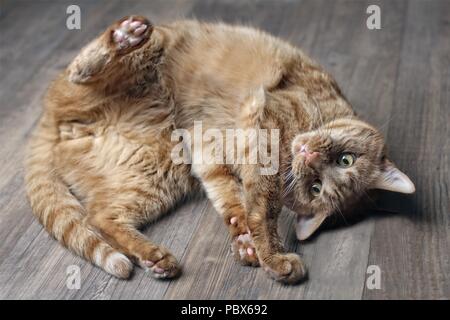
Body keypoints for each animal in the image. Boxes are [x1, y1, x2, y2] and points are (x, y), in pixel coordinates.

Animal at [25, 16, 414, 284]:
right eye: (345, 159)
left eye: (315, 187)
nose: (309, 156)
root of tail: (51, 119)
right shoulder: (264, 131)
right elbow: (263, 210)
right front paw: (273, 257)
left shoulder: (206, 155)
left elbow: (234, 201)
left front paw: (245, 242)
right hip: (143, 56)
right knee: (81, 71)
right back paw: (123, 36)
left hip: (159, 174)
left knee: (102, 216)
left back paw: (154, 258)